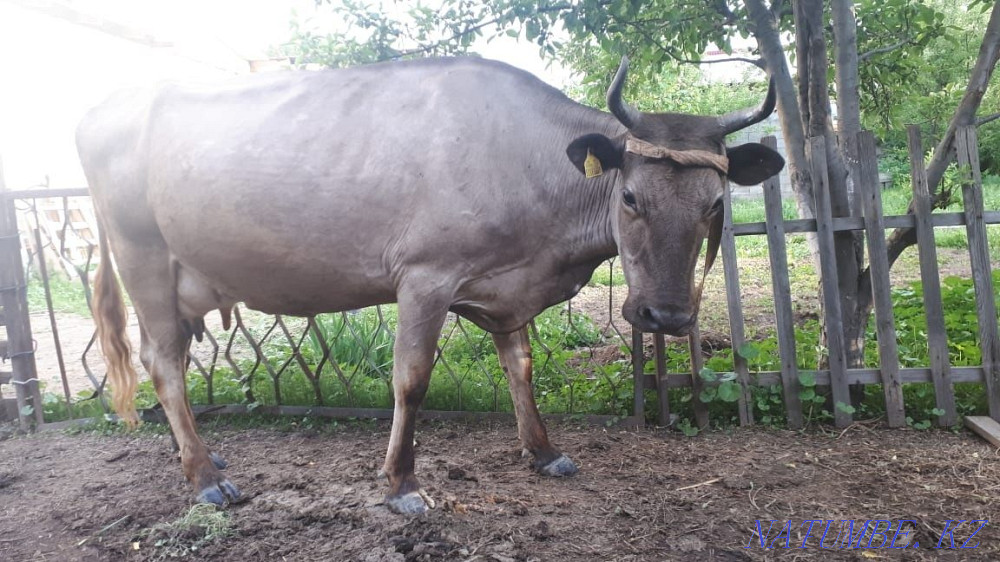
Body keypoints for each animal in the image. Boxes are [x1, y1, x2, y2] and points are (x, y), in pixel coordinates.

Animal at [77, 56, 783, 514]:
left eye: (715, 204)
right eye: (631, 196)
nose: (667, 317)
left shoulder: (506, 286)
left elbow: (520, 366)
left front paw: (544, 451)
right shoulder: (425, 275)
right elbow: (411, 380)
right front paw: (401, 486)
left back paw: (205, 457)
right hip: (143, 254)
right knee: (162, 361)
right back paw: (205, 479)